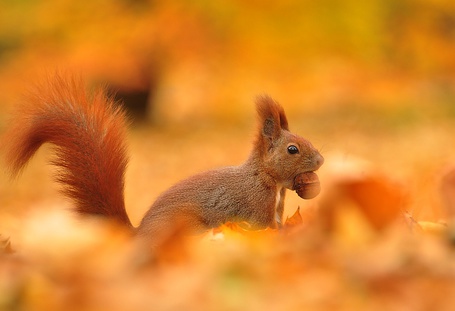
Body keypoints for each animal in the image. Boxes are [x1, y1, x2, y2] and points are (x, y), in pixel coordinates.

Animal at [3, 75, 324, 246]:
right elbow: (264, 229)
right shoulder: (256, 209)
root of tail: (138, 236)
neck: (265, 178)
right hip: (185, 226)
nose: (321, 160)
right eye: (292, 149)